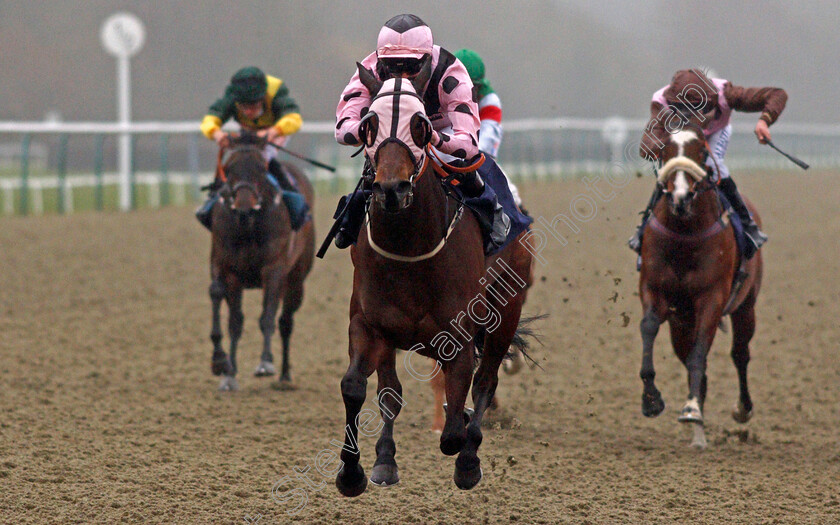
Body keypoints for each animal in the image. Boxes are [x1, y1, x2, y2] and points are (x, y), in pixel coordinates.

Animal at [208, 135, 316, 388]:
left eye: (261, 170)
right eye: (229, 169)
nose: (244, 209)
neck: (248, 226)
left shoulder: (273, 269)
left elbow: (267, 317)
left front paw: (266, 362)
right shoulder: (229, 269)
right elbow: (233, 320)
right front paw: (225, 368)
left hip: (296, 280)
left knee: (285, 322)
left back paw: (285, 375)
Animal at [334, 70, 532, 496]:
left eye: (420, 124)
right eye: (368, 124)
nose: (391, 189)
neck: (409, 246)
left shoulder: (458, 334)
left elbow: (455, 426)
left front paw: (463, 448)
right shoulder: (369, 323)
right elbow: (359, 387)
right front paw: (354, 471)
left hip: (507, 311)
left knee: (486, 381)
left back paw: (469, 459)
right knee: (392, 391)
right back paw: (386, 460)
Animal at [640, 116, 764, 448]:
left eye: (702, 151)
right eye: (665, 149)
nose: (681, 197)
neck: (685, 234)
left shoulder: (712, 298)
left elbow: (701, 355)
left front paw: (692, 409)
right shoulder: (654, 290)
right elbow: (649, 327)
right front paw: (651, 399)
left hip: (746, 305)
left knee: (740, 354)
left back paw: (741, 410)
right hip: (681, 322)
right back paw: (699, 436)